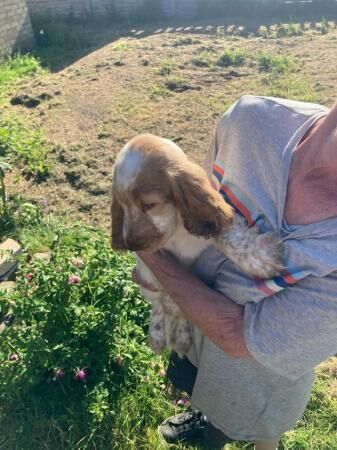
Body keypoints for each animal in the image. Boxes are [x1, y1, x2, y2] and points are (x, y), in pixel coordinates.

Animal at [111, 134, 282, 356]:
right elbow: (166, 299)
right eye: (121, 205)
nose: (132, 246)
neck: (176, 232)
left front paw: (262, 260)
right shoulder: (154, 265)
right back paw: (160, 336)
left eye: (149, 204)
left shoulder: (209, 225)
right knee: (159, 302)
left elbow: (226, 237)